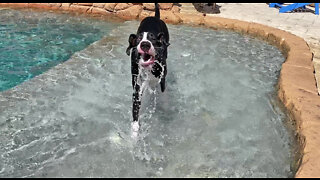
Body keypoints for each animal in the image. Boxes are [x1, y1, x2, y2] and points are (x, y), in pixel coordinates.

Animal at [126, 2, 170, 135]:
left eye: (152, 38)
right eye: (138, 39)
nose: (145, 44)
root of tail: (154, 17)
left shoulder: (162, 78)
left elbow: (163, 93)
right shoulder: (137, 85)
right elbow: (136, 107)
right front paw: (135, 129)